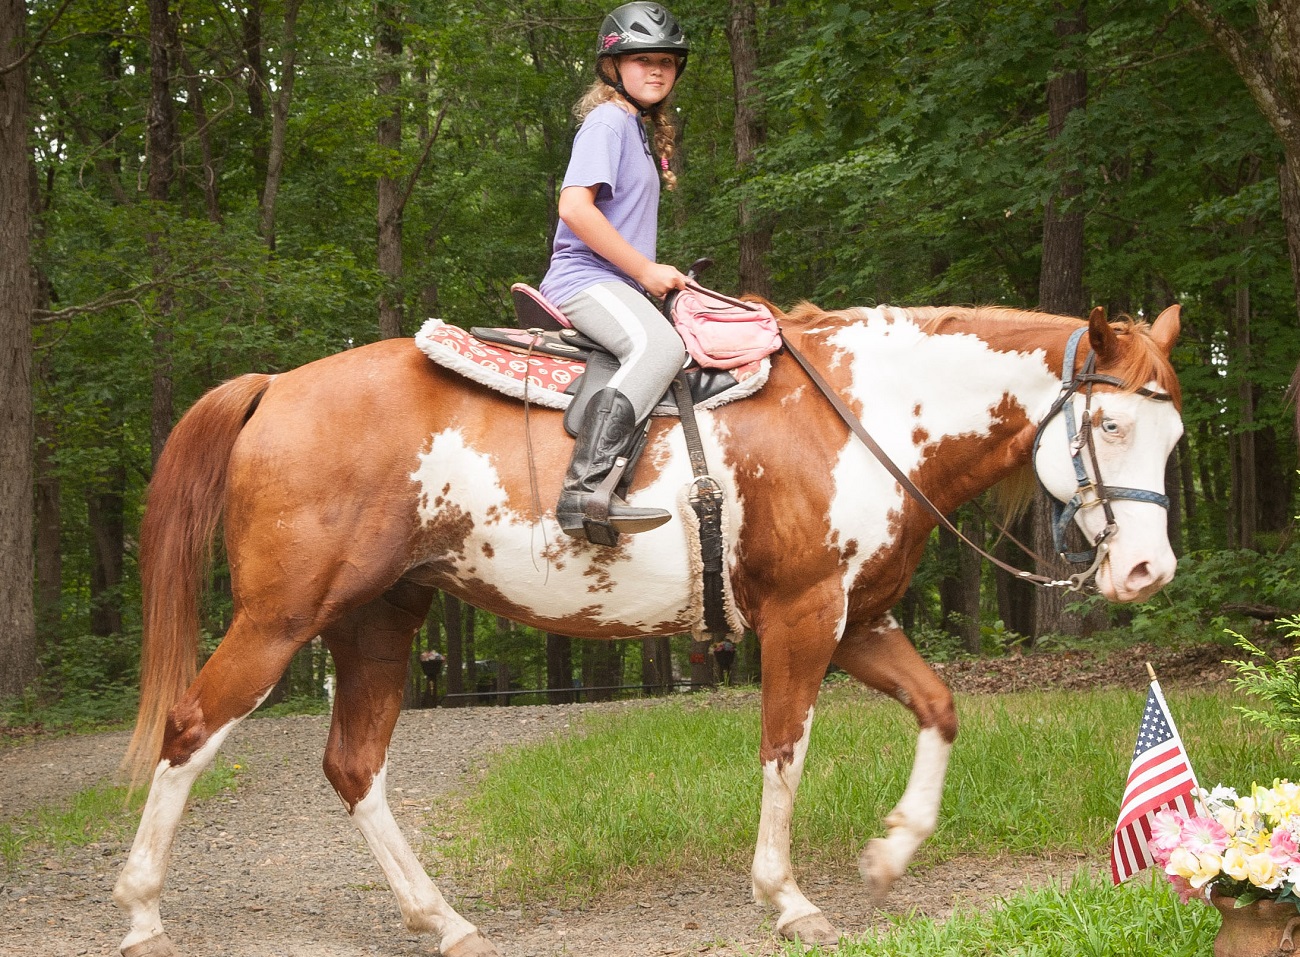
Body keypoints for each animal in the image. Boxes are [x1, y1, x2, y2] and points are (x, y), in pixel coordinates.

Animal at [116, 300, 1185, 957]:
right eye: (1113, 427)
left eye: (1174, 435)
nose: (1149, 571)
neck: (865, 416)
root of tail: (276, 385)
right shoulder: (802, 617)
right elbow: (785, 748)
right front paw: (789, 898)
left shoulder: (860, 622)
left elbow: (941, 707)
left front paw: (892, 851)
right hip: (279, 620)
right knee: (191, 730)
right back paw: (140, 914)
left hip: (381, 621)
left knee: (354, 766)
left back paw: (442, 918)